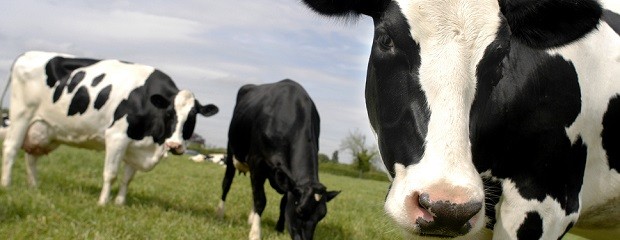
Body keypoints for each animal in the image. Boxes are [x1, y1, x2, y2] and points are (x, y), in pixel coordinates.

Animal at [1, 50, 219, 204]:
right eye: (169, 113)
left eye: (192, 117)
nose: (174, 145)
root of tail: (27, 54)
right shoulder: (117, 137)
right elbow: (111, 174)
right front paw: (103, 203)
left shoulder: (136, 146)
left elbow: (127, 178)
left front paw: (120, 203)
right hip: (21, 115)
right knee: (11, 149)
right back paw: (7, 185)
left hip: (44, 129)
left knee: (31, 157)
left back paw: (34, 187)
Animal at [217, 80, 340, 240]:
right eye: (300, 210)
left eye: (321, 216)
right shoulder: (257, 162)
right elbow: (261, 200)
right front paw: (255, 233)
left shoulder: (288, 180)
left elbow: (282, 202)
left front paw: (279, 228)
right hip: (231, 150)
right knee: (227, 183)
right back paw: (220, 212)